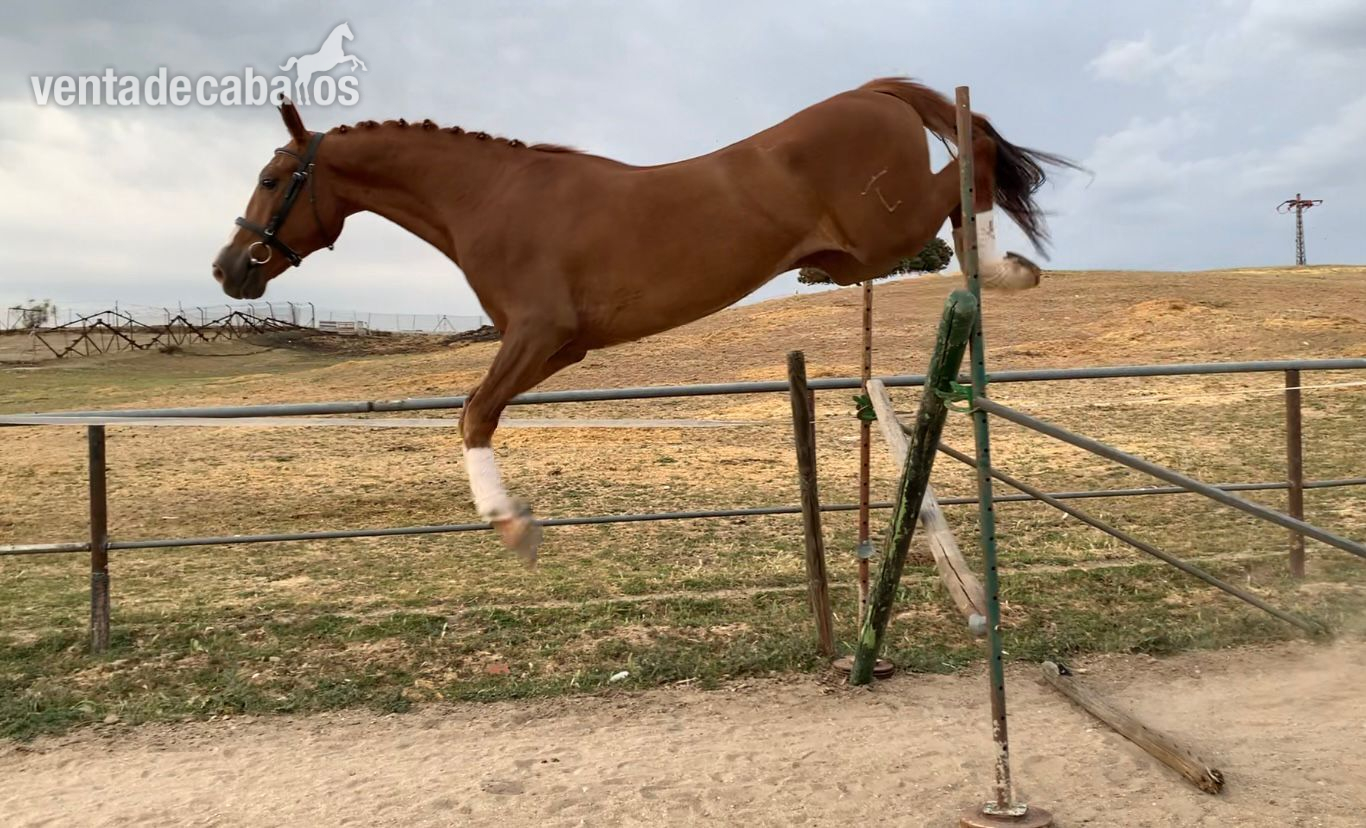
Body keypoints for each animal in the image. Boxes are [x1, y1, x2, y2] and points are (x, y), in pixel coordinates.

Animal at [213, 77, 1080, 564]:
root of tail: (875, 92)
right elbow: (480, 410)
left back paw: (1006, 269)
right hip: (860, 251)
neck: (492, 199)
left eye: (272, 179)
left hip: (883, 231)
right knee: (969, 164)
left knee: (972, 161)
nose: (229, 269)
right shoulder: (559, 350)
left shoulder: (536, 334)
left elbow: (472, 414)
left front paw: (512, 526)